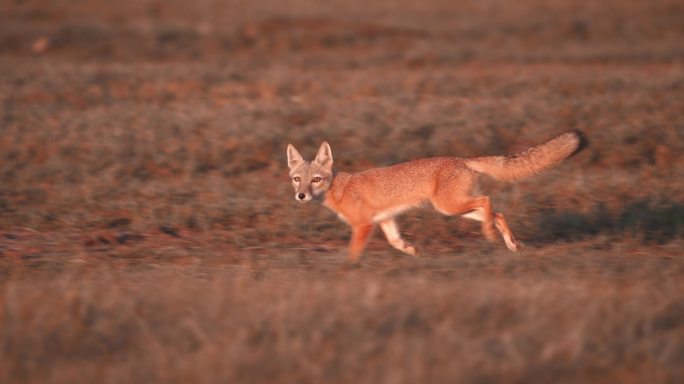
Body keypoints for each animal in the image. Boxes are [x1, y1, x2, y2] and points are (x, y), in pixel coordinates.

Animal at [286, 131, 584, 260]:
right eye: (297, 180)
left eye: (316, 180)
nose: (300, 196)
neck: (340, 187)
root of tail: (461, 159)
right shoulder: (385, 220)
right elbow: (396, 242)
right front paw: (412, 251)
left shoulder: (363, 225)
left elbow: (352, 253)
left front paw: (347, 270)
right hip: (457, 208)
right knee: (497, 211)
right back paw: (511, 244)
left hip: (450, 207)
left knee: (488, 202)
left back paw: (490, 234)